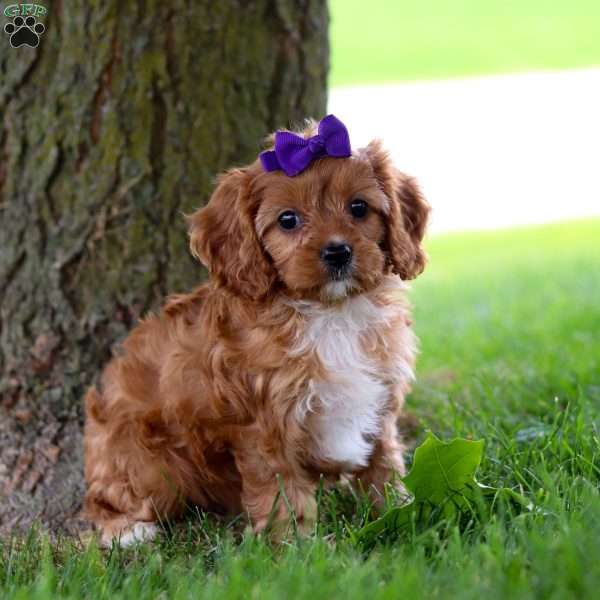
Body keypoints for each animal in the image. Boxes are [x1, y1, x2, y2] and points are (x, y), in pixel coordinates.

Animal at [85, 115, 432, 548]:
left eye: (358, 208)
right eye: (288, 220)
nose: (338, 252)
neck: (330, 313)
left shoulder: (379, 397)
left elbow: (383, 461)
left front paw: (400, 511)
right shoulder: (266, 424)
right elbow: (283, 491)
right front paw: (297, 546)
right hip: (144, 457)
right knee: (107, 498)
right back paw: (126, 530)